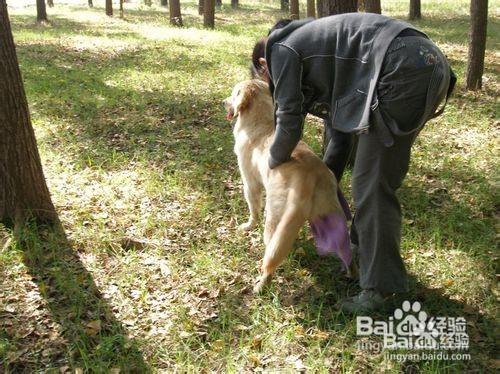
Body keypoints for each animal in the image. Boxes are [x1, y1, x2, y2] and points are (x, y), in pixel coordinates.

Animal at [225, 80, 354, 294]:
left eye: (234, 94)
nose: (223, 102)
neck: (260, 123)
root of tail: (310, 178)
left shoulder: (250, 183)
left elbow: (253, 208)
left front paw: (248, 225)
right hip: (331, 217)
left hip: (275, 220)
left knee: (270, 255)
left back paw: (262, 285)